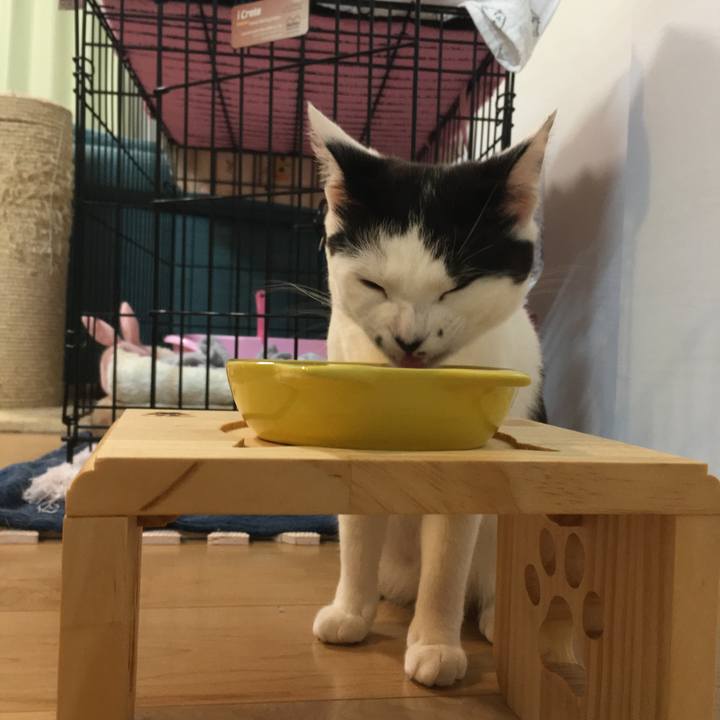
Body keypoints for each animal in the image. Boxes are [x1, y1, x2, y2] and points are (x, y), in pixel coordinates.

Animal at [306, 103, 554, 687]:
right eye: (373, 285)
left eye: (455, 287)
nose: (409, 339)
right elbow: (357, 538)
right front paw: (350, 611)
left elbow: (446, 563)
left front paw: (435, 644)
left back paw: (493, 616)